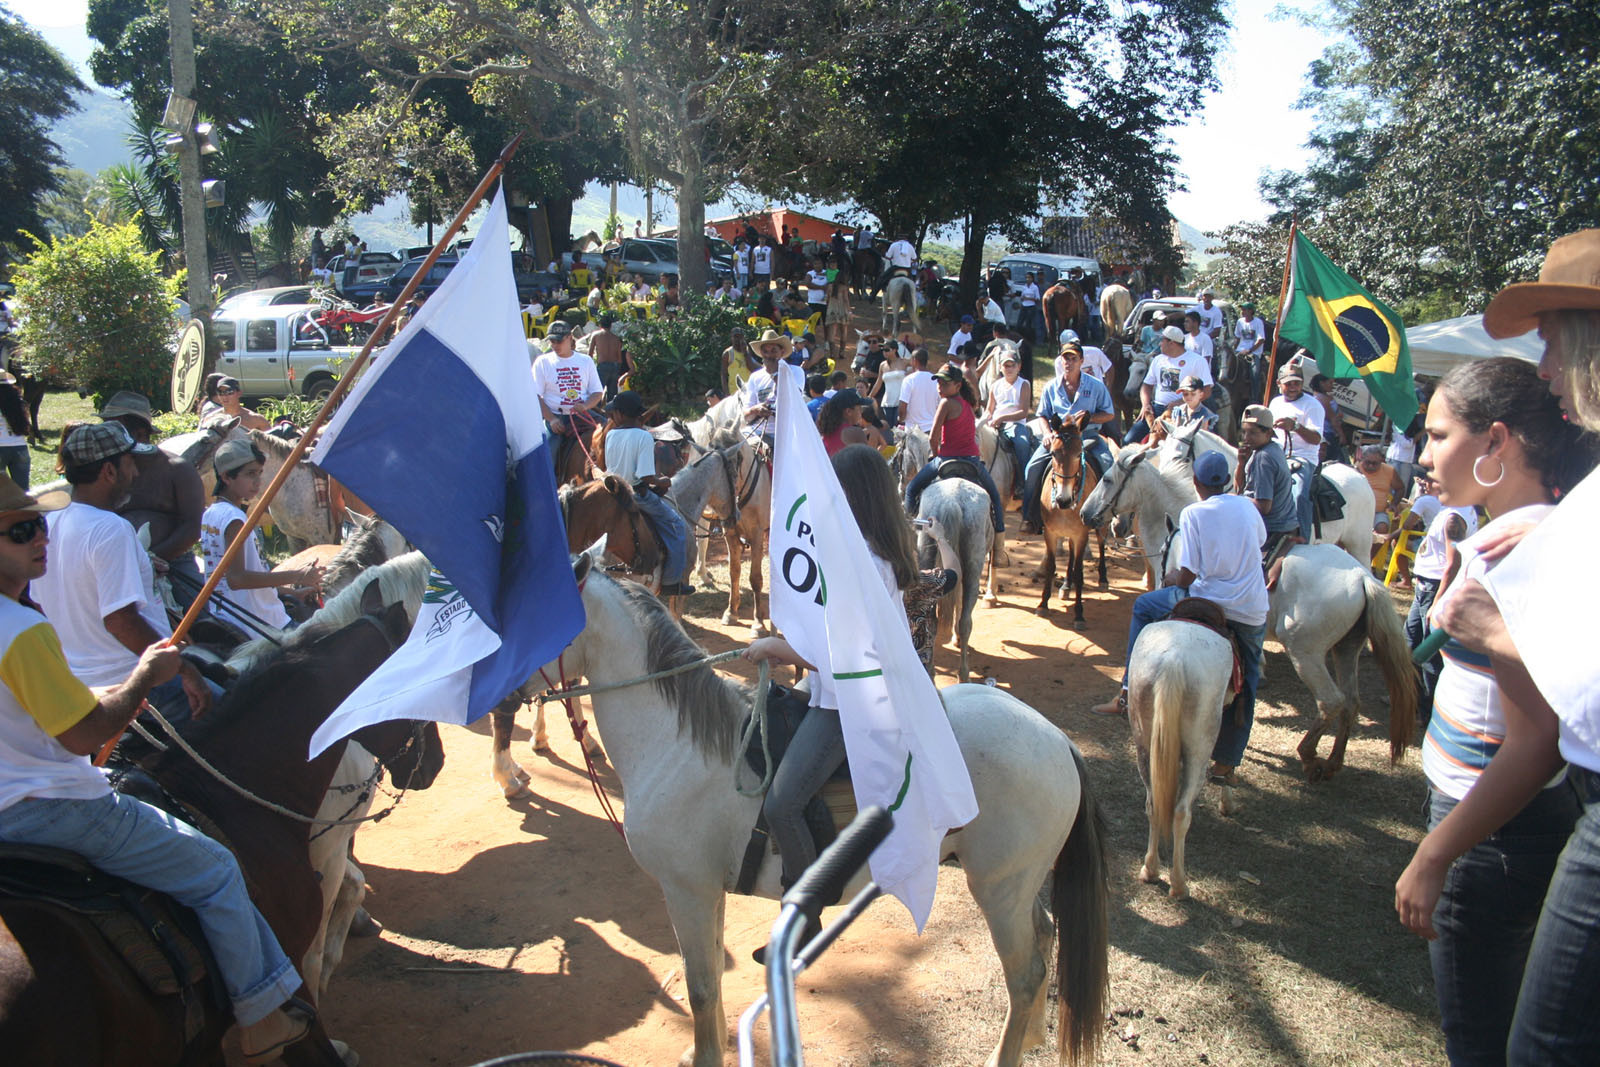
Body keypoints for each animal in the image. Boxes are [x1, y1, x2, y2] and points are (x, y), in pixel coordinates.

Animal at [544, 550, 1107, 1067]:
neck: (681, 745)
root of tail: (1057, 740)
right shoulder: (708, 892)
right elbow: (713, 983)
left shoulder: (687, 890)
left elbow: (701, 989)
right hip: (1018, 882)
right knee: (1045, 937)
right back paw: (1030, 1037)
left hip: (999, 888)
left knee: (1026, 973)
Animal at [1030, 415, 1107, 630]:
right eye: (1053, 453)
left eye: (1078, 454)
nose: (1063, 500)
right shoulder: (1050, 533)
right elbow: (1051, 566)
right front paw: (1043, 604)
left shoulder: (1081, 534)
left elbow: (1080, 573)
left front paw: (1079, 614)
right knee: (1072, 553)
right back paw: (1066, 585)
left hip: (1098, 526)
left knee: (1101, 543)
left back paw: (1103, 578)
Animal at [1126, 617, 1235, 902]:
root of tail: (1173, 660)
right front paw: (1227, 800)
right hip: (1200, 746)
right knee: (1182, 811)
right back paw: (1179, 884)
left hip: (1143, 740)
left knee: (1153, 803)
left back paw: (1150, 869)